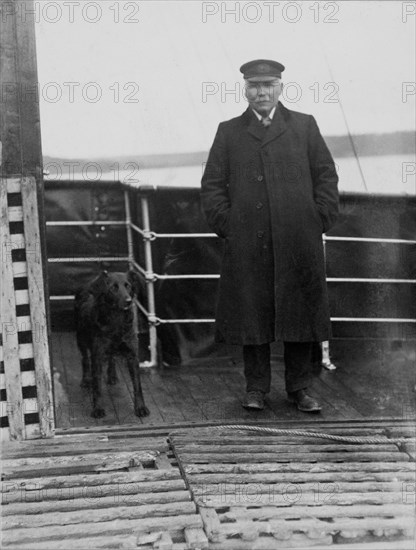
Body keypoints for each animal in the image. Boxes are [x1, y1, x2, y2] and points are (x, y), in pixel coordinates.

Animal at [75, 270, 150, 418]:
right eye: (113, 288)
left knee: (112, 357)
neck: (117, 319)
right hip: (81, 338)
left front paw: (140, 408)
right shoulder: (97, 356)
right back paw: (86, 380)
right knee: (84, 359)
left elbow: (137, 385)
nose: (128, 301)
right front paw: (97, 409)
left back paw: (112, 375)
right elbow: (97, 386)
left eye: (128, 286)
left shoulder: (132, 355)